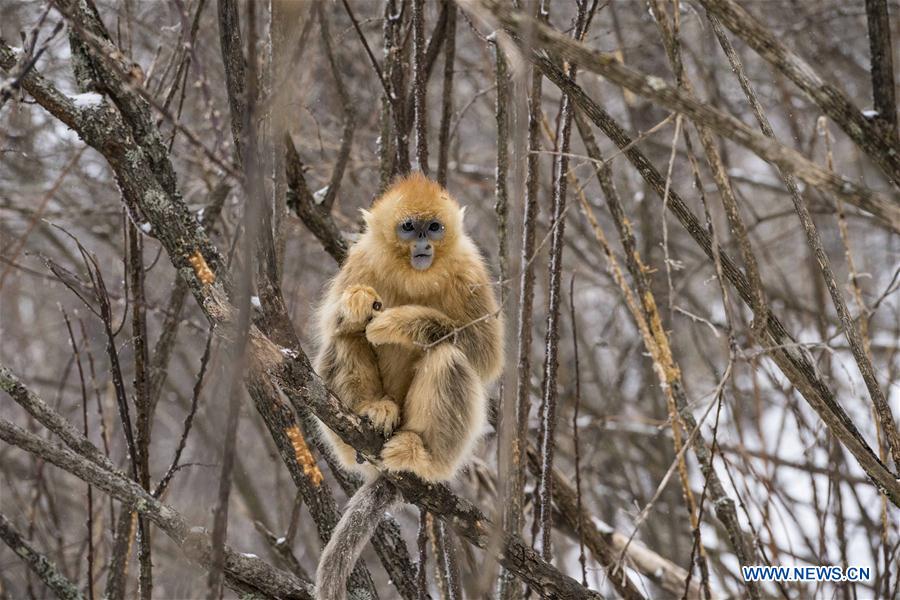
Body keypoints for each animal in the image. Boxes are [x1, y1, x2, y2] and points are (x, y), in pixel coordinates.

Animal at [313, 173, 504, 600]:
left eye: (433, 227)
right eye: (408, 227)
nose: (422, 244)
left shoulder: (470, 272)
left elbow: (485, 354)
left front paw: (401, 323)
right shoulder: (360, 261)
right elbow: (333, 324)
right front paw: (356, 305)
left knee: (448, 356)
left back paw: (420, 454)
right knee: (344, 339)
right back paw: (373, 413)